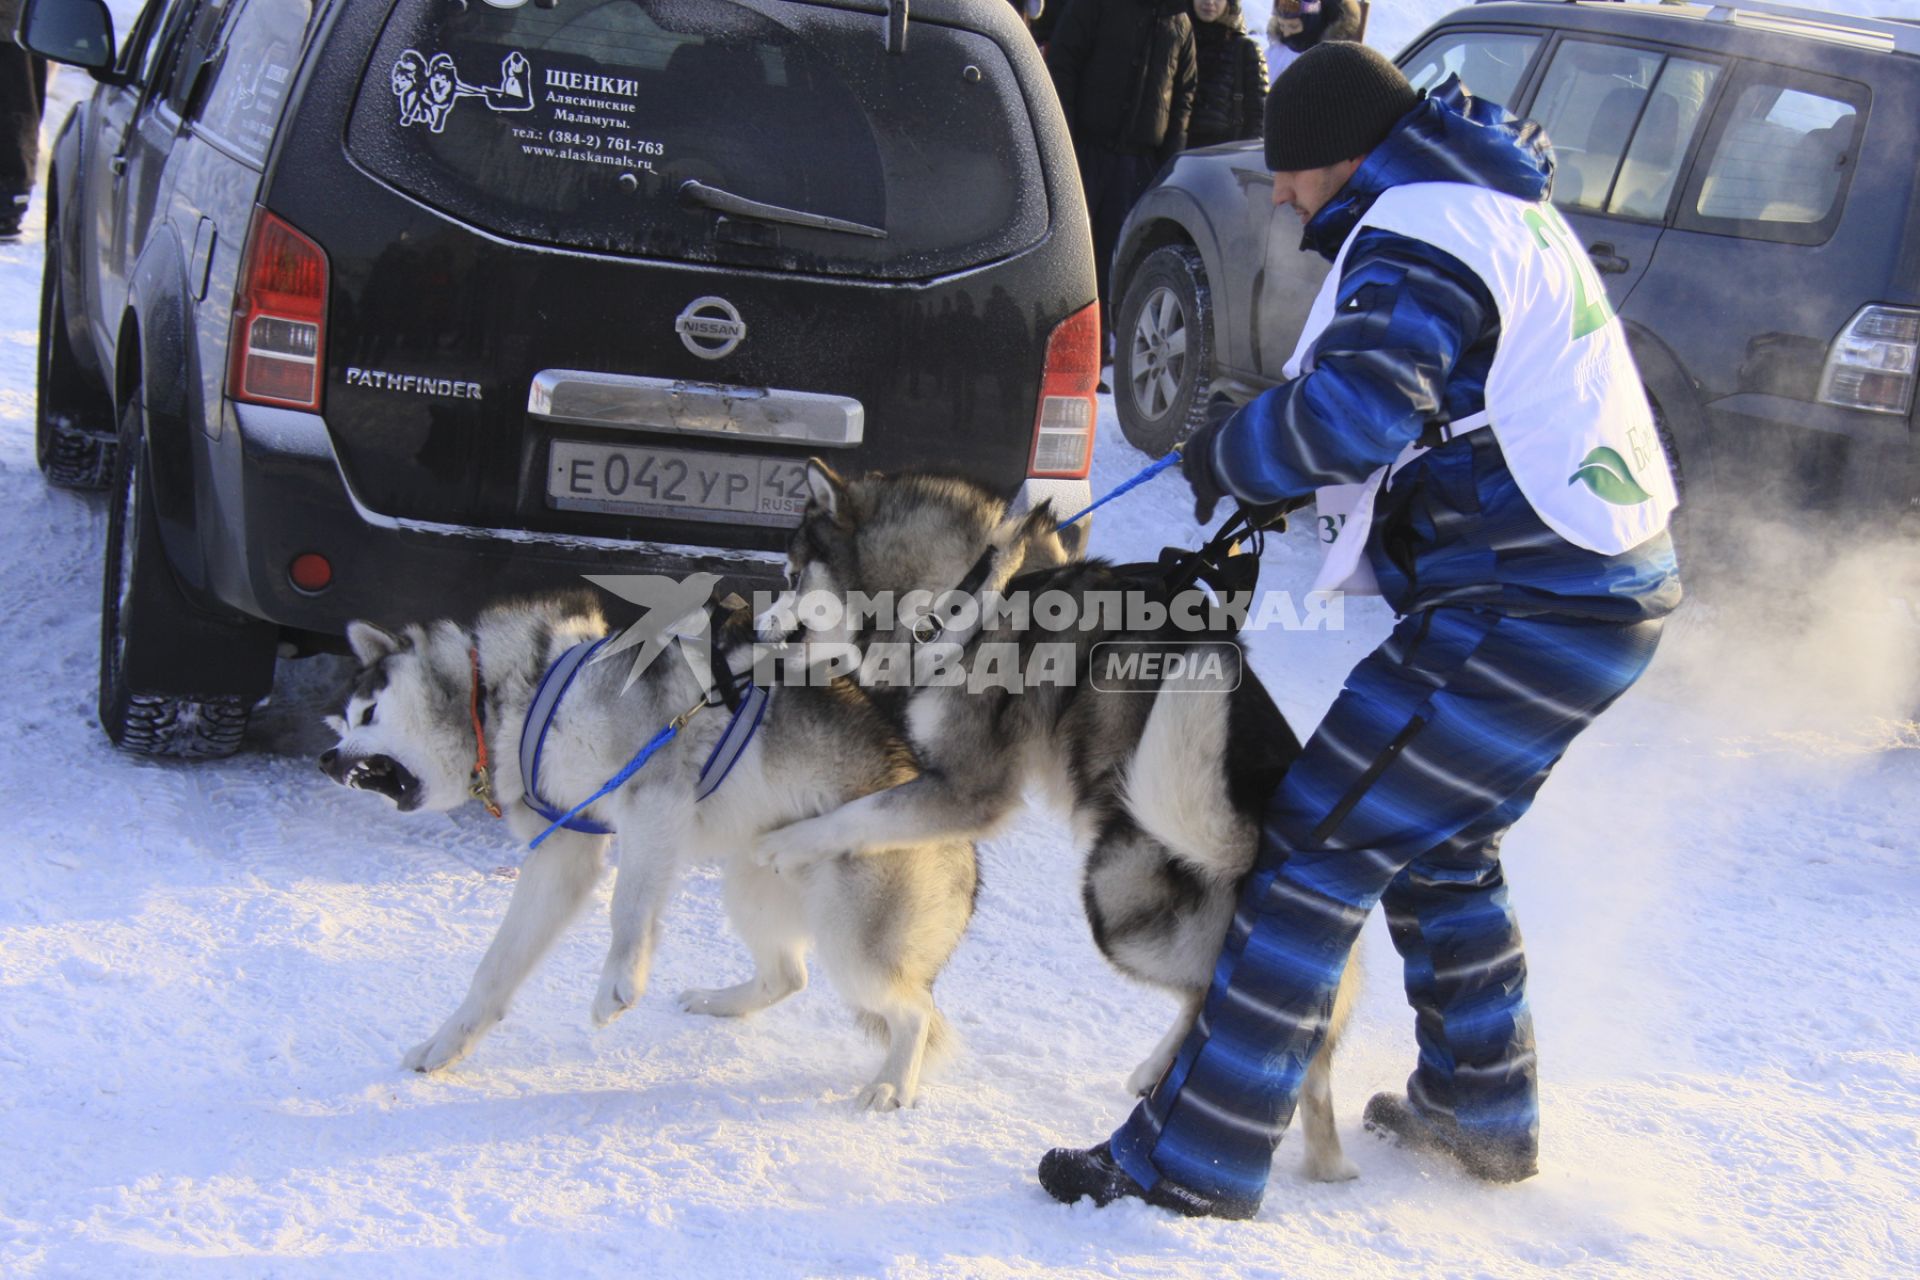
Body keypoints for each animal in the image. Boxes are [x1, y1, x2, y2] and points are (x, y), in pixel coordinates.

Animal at [320, 594, 975, 1105]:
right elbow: (495, 970)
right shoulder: (564, 848)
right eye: (341, 722)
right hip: (752, 880)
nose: (325, 759)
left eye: (368, 712)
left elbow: (629, 905)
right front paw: (446, 1044)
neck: (511, 699)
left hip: (850, 935)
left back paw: (892, 1085)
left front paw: (619, 981)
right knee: (789, 975)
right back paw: (720, 1002)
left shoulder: (652, 795)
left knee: (914, 1011)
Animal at [756, 468, 1359, 1182]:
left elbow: (854, 816)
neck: (968, 587)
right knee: (1279, 1040)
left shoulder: (966, 791)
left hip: (1117, 897)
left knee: (1212, 994)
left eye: (793, 575)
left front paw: (781, 845)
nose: (758, 628)